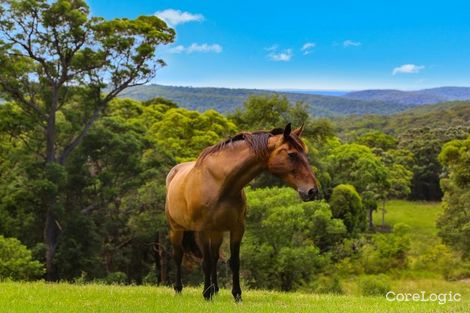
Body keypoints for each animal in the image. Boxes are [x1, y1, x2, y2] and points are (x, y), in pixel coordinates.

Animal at [164, 123, 320, 302]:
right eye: (292, 154)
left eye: (305, 154)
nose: (312, 191)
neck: (220, 183)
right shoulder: (202, 230)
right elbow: (206, 262)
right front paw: (206, 294)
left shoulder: (237, 228)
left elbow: (234, 262)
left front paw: (236, 295)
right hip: (176, 229)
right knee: (178, 256)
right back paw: (179, 289)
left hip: (216, 232)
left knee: (215, 256)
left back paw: (215, 289)